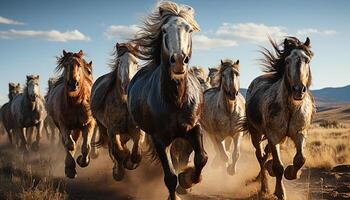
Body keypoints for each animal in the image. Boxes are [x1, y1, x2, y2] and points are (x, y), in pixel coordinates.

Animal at [45, 50, 94, 178]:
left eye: (79, 65)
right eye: (65, 65)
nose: (73, 84)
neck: (76, 102)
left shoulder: (89, 123)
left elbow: (86, 147)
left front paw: (82, 161)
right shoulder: (63, 125)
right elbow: (70, 144)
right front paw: (70, 169)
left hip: (77, 127)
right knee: (67, 142)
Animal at [91, 42, 145, 181]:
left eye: (136, 62)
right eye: (119, 61)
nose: (127, 85)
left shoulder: (138, 130)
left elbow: (136, 155)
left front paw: (129, 163)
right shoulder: (112, 131)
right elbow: (119, 153)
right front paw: (119, 172)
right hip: (105, 130)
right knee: (113, 150)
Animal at [127, 1, 206, 200]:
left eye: (189, 29)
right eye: (163, 30)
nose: (178, 60)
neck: (175, 101)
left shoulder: (194, 128)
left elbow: (202, 158)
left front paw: (187, 180)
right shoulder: (160, 139)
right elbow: (170, 176)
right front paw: (176, 192)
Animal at [243, 37, 314, 198]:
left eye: (307, 60)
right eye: (287, 61)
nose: (298, 90)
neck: (291, 107)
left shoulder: (300, 133)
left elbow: (300, 159)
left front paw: (292, 173)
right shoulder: (273, 136)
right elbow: (278, 166)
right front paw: (280, 192)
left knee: (265, 156)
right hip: (256, 133)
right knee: (260, 156)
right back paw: (264, 188)